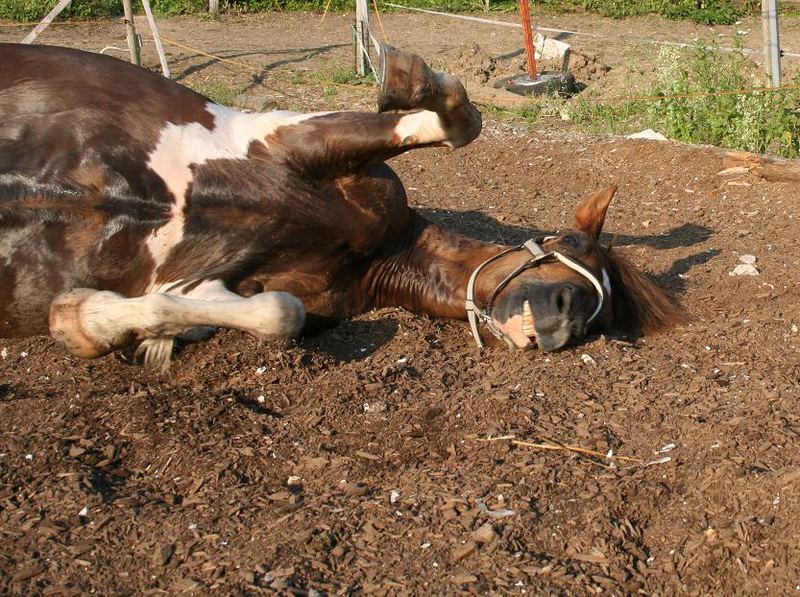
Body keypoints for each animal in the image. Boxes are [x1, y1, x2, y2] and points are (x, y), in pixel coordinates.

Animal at [0, 42, 688, 366]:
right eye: (570, 244)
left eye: (597, 321)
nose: (567, 317)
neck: (375, 252)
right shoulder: (292, 140)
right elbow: (459, 121)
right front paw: (410, 78)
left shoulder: (221, 287)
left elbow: (274, 314)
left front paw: (84, 316)